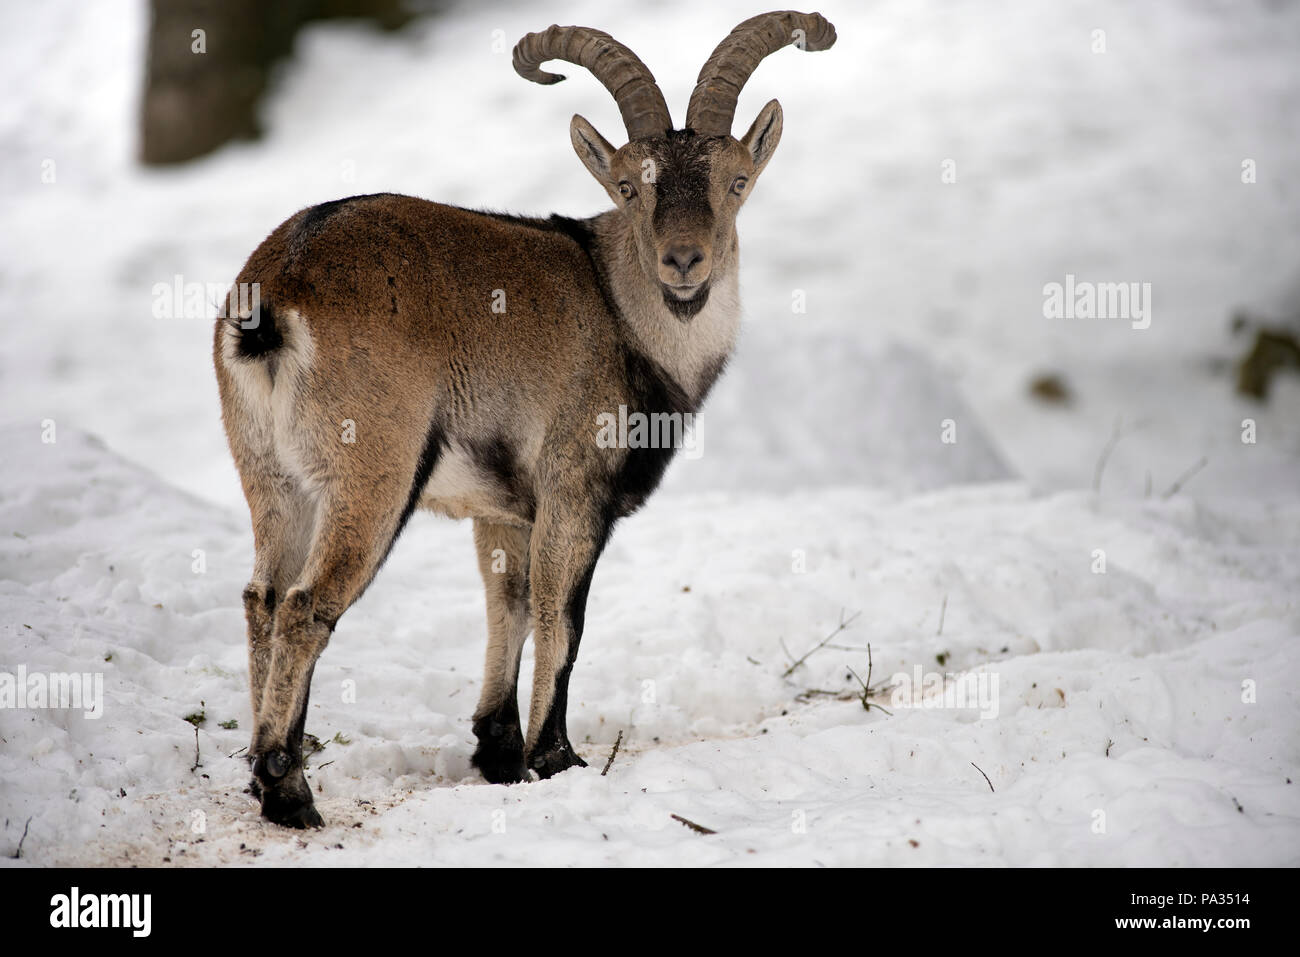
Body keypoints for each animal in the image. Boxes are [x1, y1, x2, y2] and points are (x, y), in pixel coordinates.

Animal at [214, 11, 836, 827]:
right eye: (629, 186)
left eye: (735, 180)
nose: (683, 262)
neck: (621, 312)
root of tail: (277, 293)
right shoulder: (574, 487)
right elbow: (560, 614)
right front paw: (555, 757)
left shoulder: (503, 507)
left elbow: (505, 603)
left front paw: (498, 751)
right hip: (372, 475)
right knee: (305, 605)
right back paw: (289, 792)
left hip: (272, 476)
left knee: (260, 597)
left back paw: (264, 771)